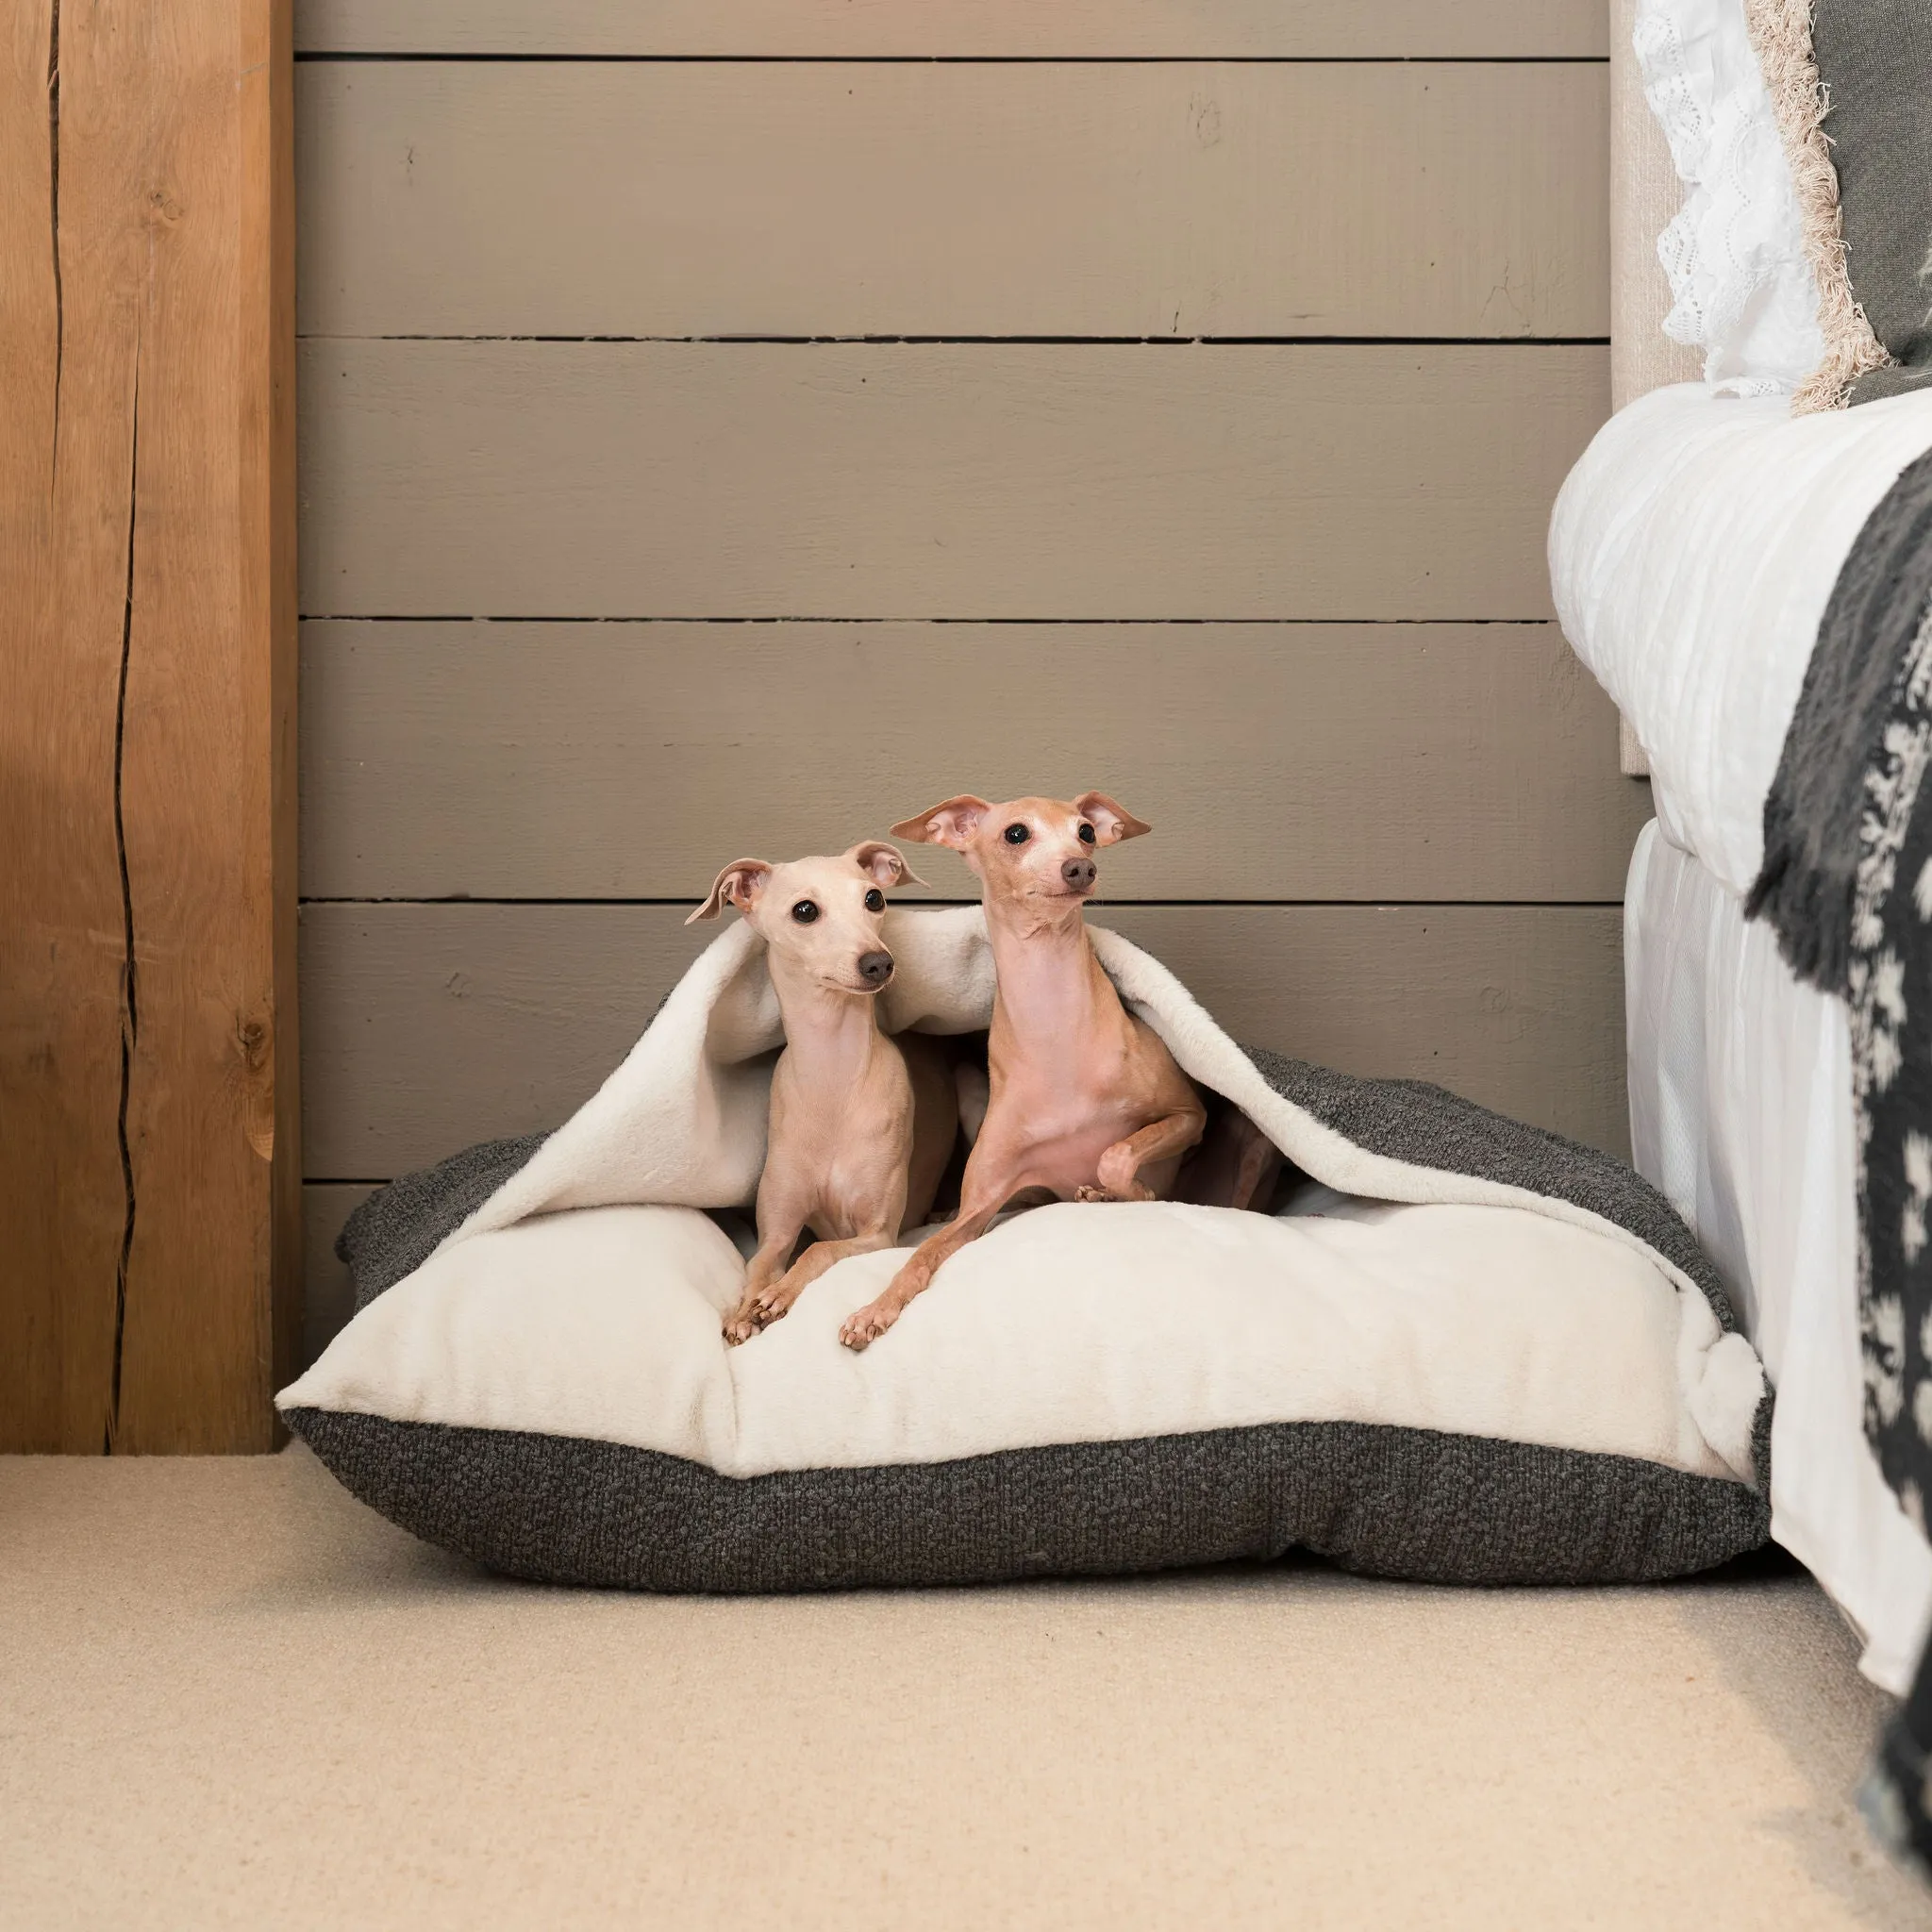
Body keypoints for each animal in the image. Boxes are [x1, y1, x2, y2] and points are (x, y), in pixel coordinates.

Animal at [695, 838, 966, 1352]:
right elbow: (759, 1265)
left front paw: (778, 1296)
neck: (834, 1084)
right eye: (804, 910)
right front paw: (743, 1311)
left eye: (873, 899)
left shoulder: (878, 1234)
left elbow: (819, 1249)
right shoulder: (777, 1231)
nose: (879, 963)